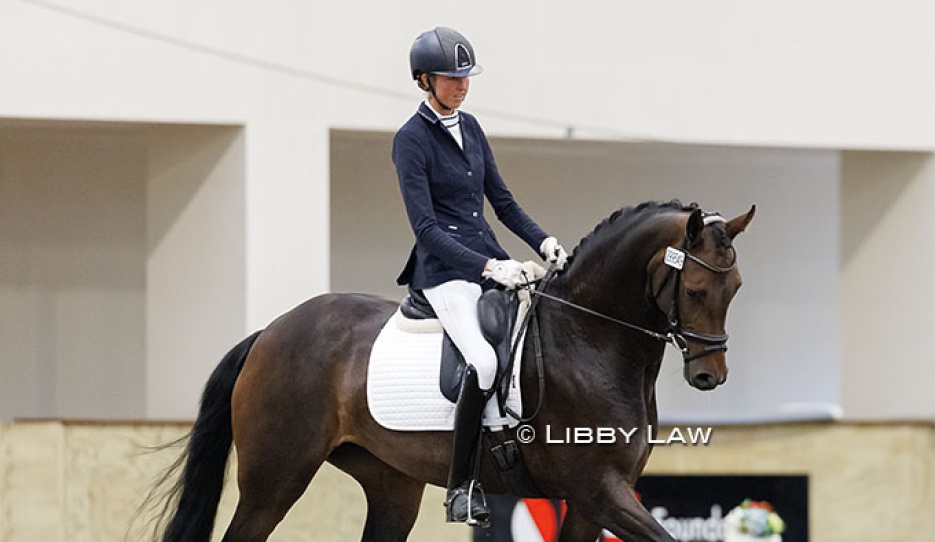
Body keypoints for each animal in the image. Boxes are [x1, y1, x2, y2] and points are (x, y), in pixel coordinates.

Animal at [145, 199, 755, 542]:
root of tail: (269, 333)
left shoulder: (594, 502)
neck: (590, 336)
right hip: (274, 481)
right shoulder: (600, 492)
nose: (711, 375)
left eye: (736, 288)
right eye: (695, 290)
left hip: (391, 485)